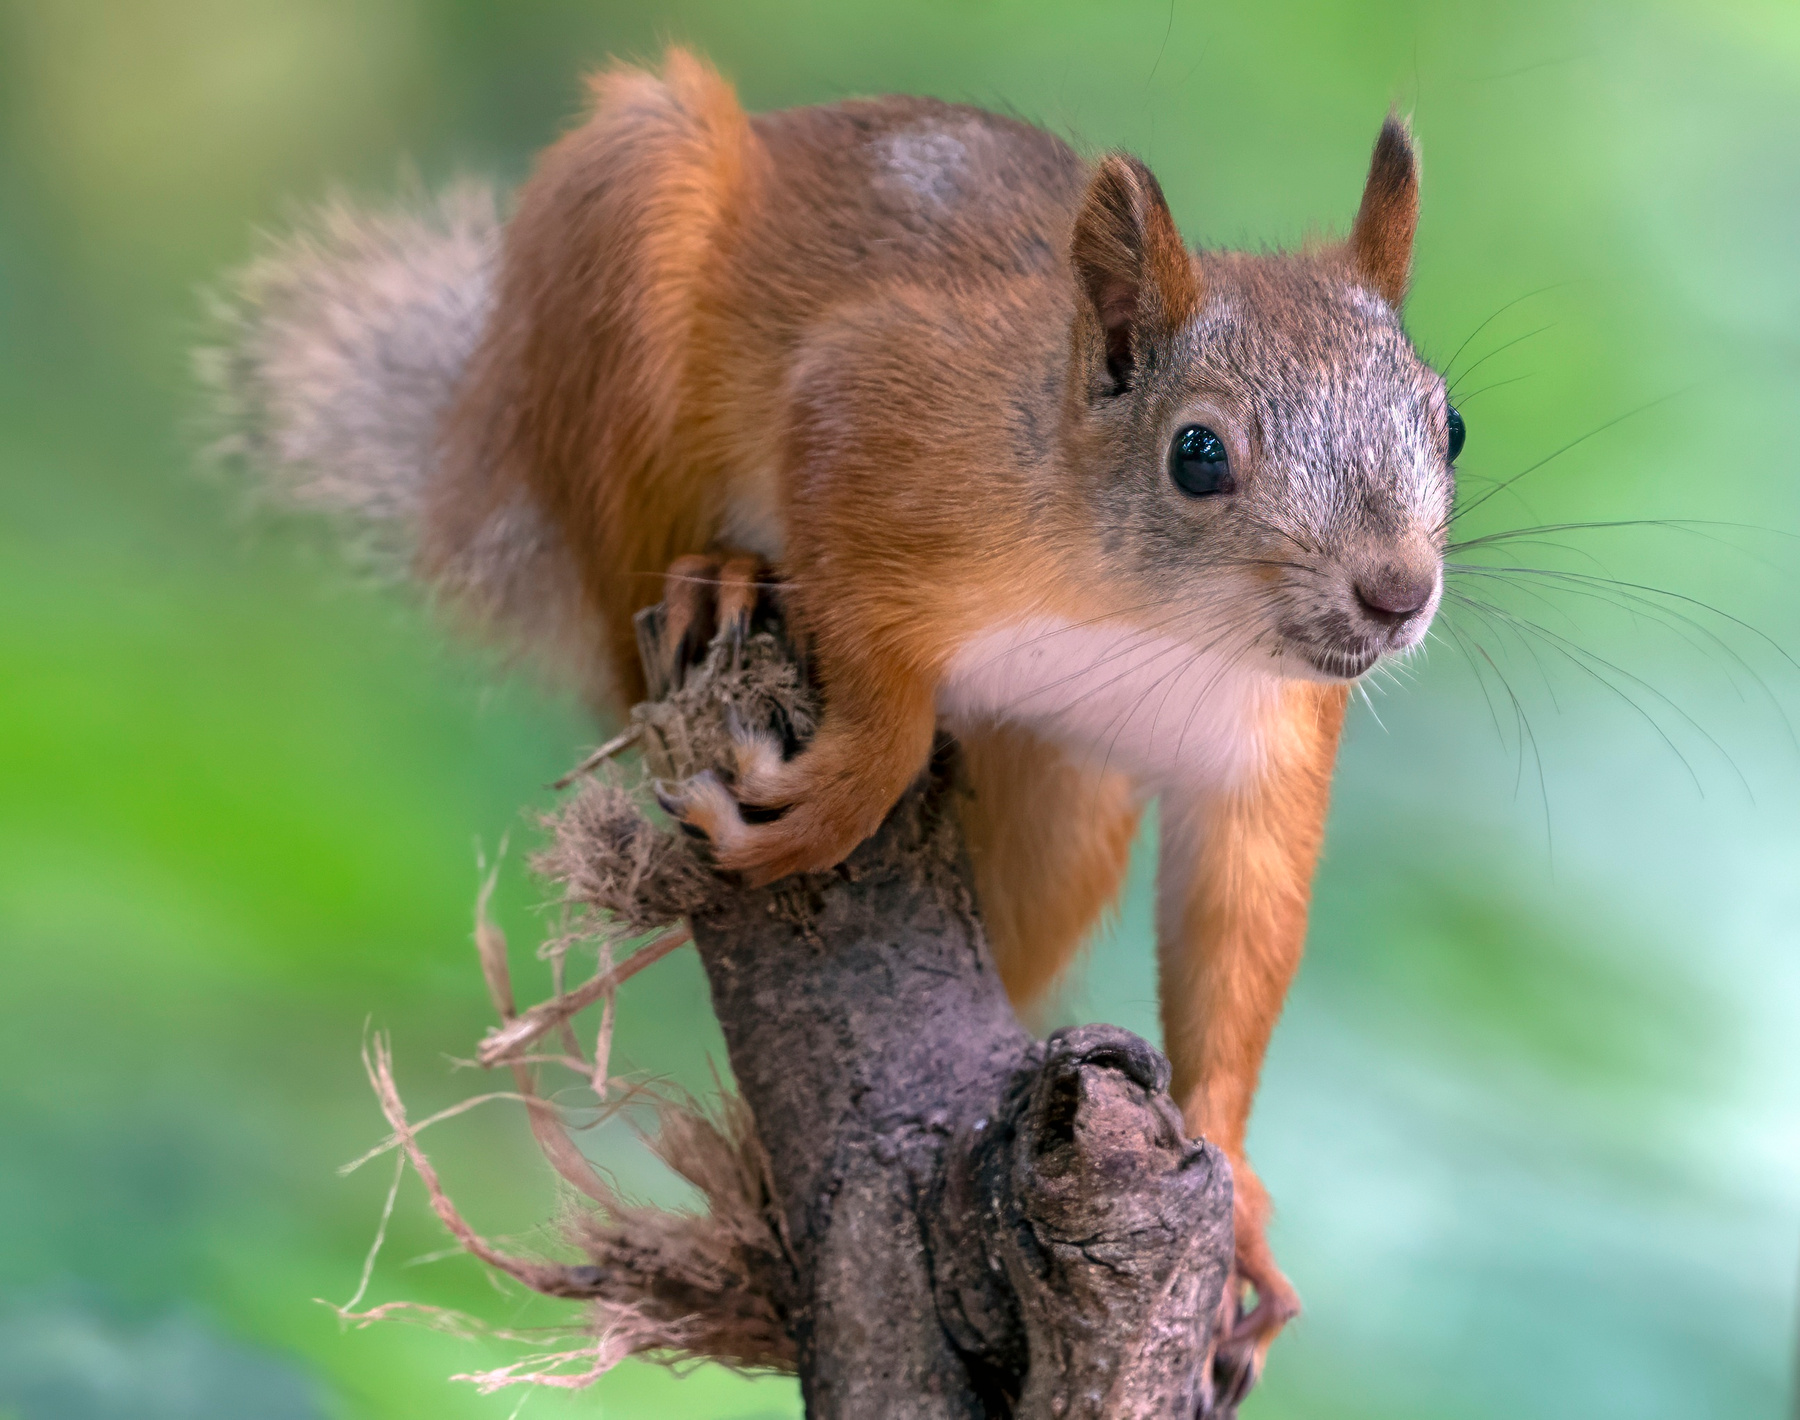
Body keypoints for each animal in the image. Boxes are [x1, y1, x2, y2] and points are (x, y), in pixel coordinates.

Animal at [211, 47, 1454, 1399]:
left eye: (1447, 423)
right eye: (1198, 454)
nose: (1397, 594)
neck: (1143, 612)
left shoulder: (1265, 742)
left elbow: (1239, 927)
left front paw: (1239, 1196)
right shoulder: (874, 418)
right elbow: (872, 633)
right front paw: (832, 798)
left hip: (1063, 796)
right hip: (621, 266)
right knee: (626, 598)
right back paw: (713, 574)